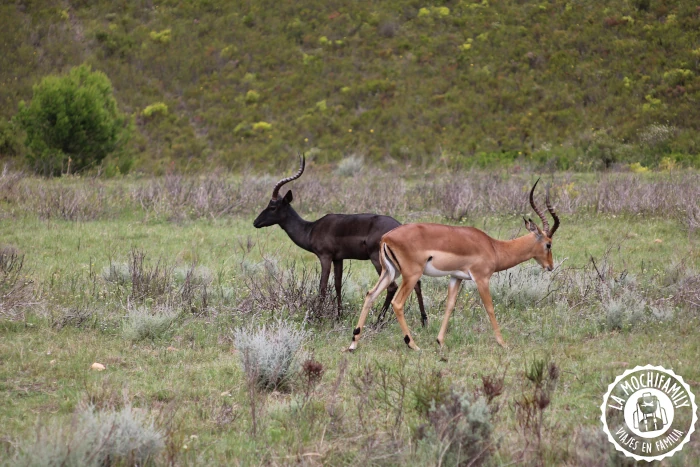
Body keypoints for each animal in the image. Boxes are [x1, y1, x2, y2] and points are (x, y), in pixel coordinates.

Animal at [253, 154, 426, 324]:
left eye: (273, 207)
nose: (255, 222)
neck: (311, 229)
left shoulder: (325, 256)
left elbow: (322, 286)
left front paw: (317, 317)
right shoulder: (339, 259)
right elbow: (337, 284)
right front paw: (338, 316)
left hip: (378, 260)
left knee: (392, 286)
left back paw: (378, 322)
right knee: (416, 282)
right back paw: (424, 320)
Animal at [348, 179, 560, 351]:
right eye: (548, 243)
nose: (550, 266)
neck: (493, 246)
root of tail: (387, 237)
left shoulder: (456, 277)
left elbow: (450, 306)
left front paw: (440, 341)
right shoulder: (481, 278)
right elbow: (489, 307)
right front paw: (503, 343)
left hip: (389, 272)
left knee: (370, 295)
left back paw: (353, 344)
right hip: (411, 275)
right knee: (397, 303)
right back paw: (413, 344)